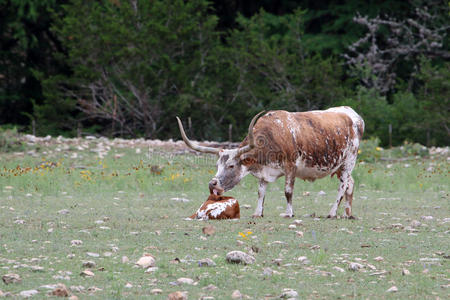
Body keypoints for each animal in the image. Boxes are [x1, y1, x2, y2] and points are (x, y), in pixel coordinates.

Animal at [174, 107, 364, 218]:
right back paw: (347, 213)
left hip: (348, 161)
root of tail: (353, 114)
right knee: (351, 184)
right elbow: (261, 192)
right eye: (217, 166)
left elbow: (288, 192)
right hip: (339, 165)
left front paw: (288, 213)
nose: (212, 184)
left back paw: (332, 213)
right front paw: (258, 212)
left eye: (231, 165)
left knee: (342, 186)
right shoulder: (263, 172)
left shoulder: (291, 167)